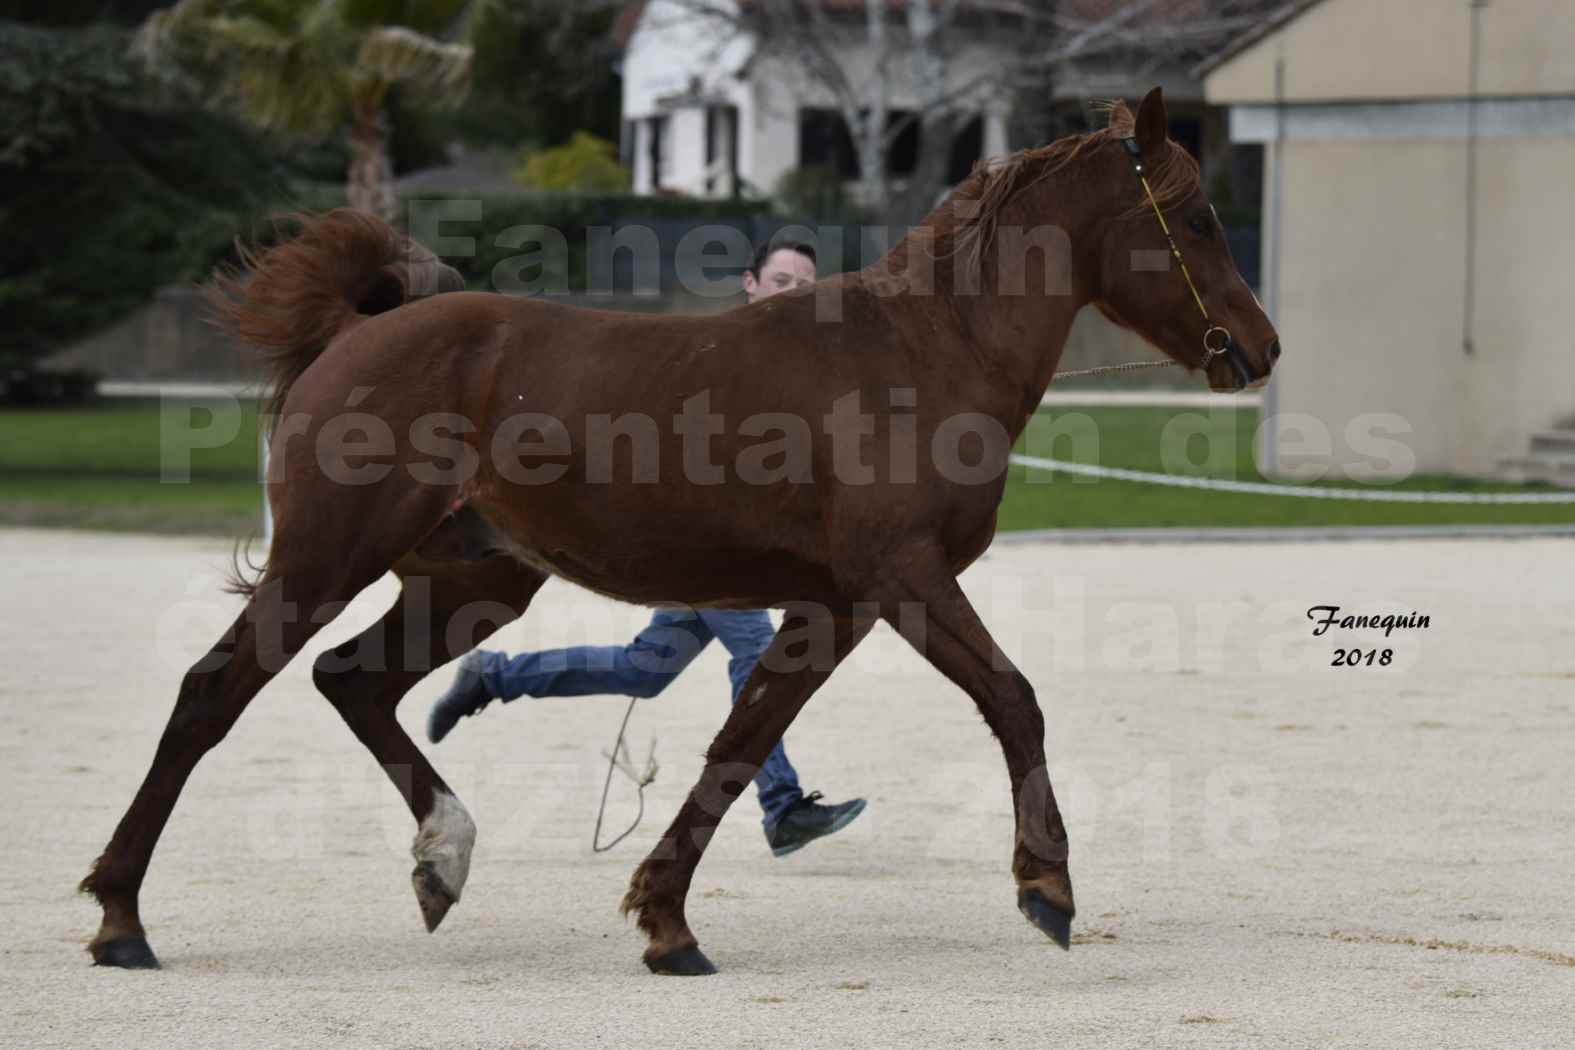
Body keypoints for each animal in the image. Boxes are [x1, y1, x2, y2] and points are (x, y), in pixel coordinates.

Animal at [79, 88, 1278, 976]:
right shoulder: (905, 579)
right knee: (214, 693)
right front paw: (1048, 888)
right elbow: (1013, 701)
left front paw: (667, 924)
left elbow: (742, 743)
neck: (922, 352)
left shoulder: (835, 605)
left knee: (353, 681)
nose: (1258, 349)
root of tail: (358, 332)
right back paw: (121, 920)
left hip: (475, 583)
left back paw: (442, 860)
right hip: (327, 560)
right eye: (1199, 219)